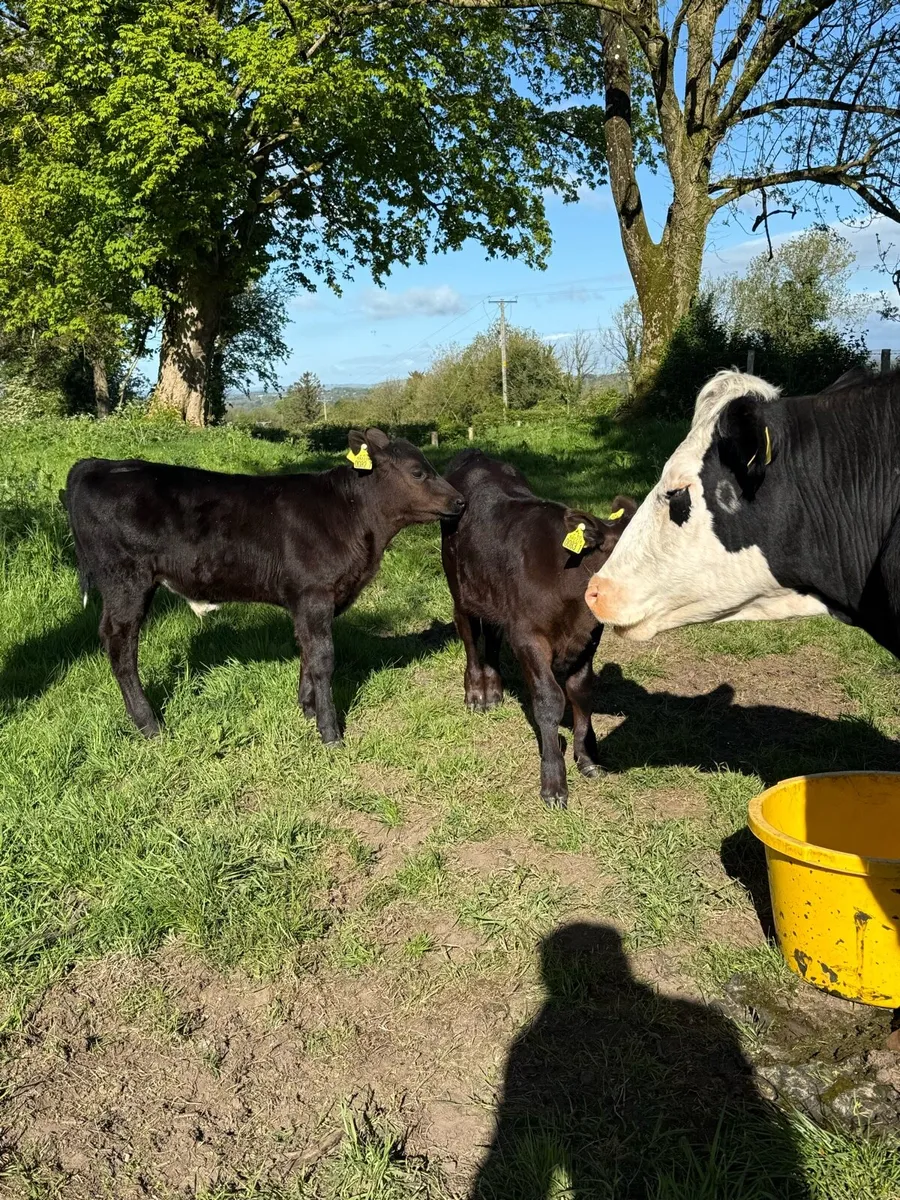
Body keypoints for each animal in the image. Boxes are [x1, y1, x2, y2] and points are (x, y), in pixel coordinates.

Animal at [62, 428, 464, 745]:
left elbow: (307, 651)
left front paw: (306, 709)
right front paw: (329, 731)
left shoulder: (305, 600)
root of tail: (97, 464)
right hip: (126, 580)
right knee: (120, 643)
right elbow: (323, 658)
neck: (352, 516)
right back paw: (150, 725)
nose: (461, 500)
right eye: (418, 472)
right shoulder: (315, 593)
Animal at [441, 449, 636, 807]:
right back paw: (476, 693)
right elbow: (549, 700)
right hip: (459, 586)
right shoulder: (528, 636)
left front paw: (588, 759)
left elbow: (581, 692)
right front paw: (554, 782)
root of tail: (476, 455)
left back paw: (494, 691)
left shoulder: (588, 639)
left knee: (492, 634)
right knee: (469, 636)